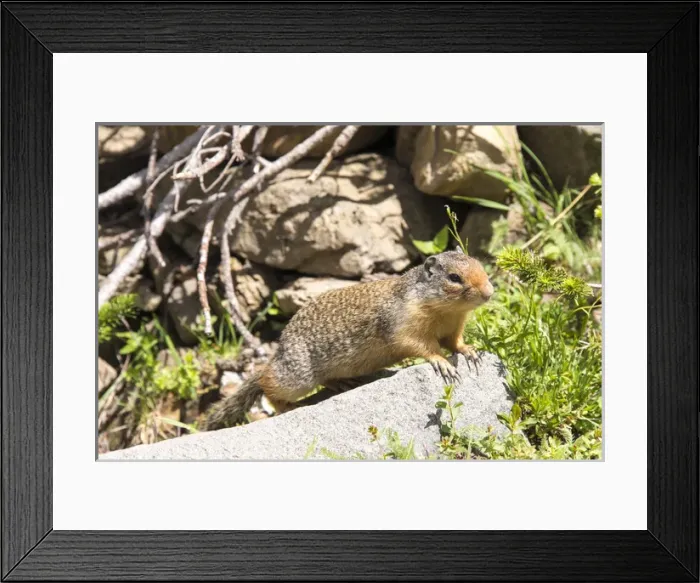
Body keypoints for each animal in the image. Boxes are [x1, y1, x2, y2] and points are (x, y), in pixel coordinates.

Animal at [202, 250, 494, 431]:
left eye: (482, 267)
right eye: (454, 278)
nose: (490, 292)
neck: (445, 310)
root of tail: (279, 351)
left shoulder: (453, 327)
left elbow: (454, 342)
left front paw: (469, 351)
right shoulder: (404, 325)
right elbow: (420, 346)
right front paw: (441, 362)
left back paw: (342, 382)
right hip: (297, 376)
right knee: (267, 382)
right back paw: (288, 405)